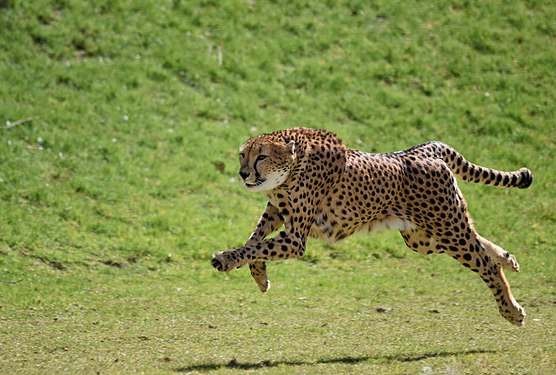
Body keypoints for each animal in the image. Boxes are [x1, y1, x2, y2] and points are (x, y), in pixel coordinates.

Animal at [211, 127, 532, 326]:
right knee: (476, 240)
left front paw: (226, 259)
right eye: (242, 155)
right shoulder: (278, 212)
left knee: (485, 265)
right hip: (424, 237)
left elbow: (256, 246)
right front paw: (259, 275)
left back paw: (511, 310)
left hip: (444, 227)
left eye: (261, 156)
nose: (242, 173)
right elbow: (254, 240)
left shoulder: (295, 238)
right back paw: (507, 258)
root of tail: (421, 149)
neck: (290, 167)